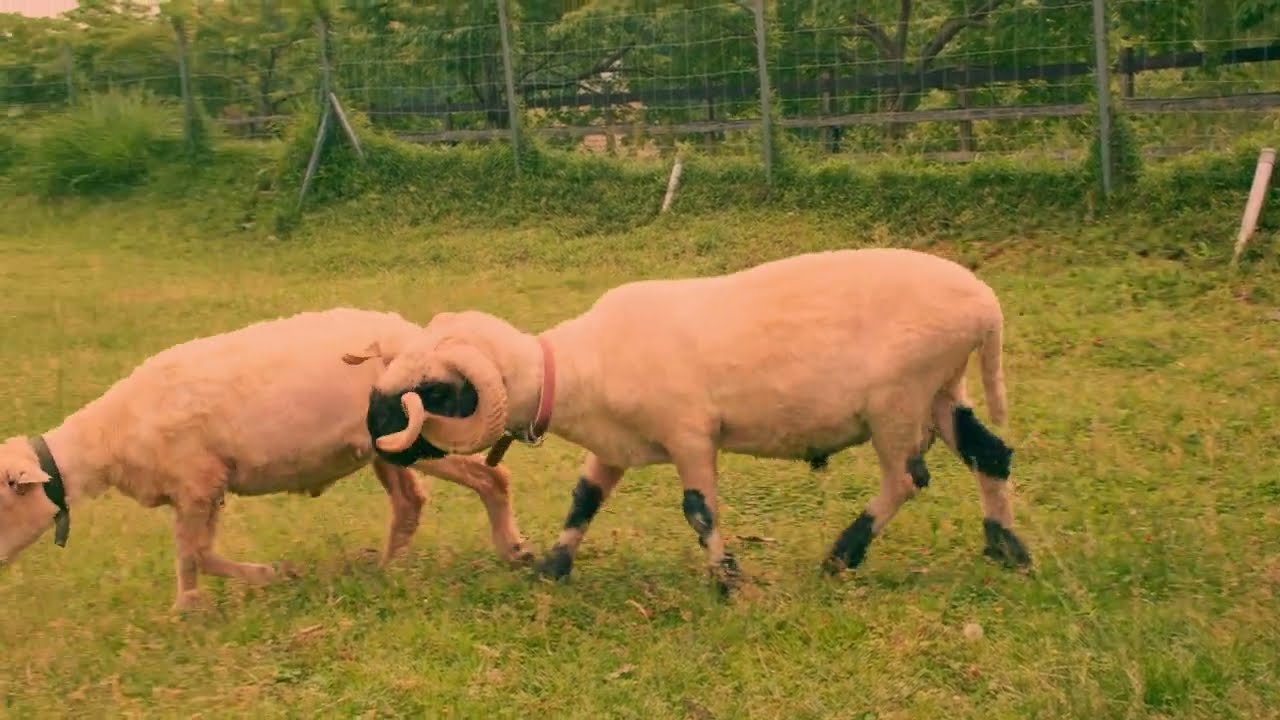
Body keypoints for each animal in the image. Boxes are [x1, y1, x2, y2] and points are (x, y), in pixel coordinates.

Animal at [0, 307, 533, 611]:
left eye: (4, 499)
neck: (107, 438)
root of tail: (426, 339)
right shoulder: (200, 490)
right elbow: (195, 554)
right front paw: (201, 603)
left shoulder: (198, 482)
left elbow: (195, 554)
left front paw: (243, 587)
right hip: (386, 449)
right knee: (409, 504)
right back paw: (386, 571)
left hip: (426, 434)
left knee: (493, 478)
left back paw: (513, 550)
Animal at [345, 248, 1031, 594]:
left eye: (433, 390)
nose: (372, 432)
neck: (576, 368)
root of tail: (986, 308)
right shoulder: (613, 447)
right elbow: (583, 501)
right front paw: (553, 569)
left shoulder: (691, 435)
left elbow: (700, 510)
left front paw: (728, 582)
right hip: (943, 389)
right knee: (990, 454)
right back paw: (1008, 551)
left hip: (898, 399)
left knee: (907, 478)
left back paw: (842, 556)